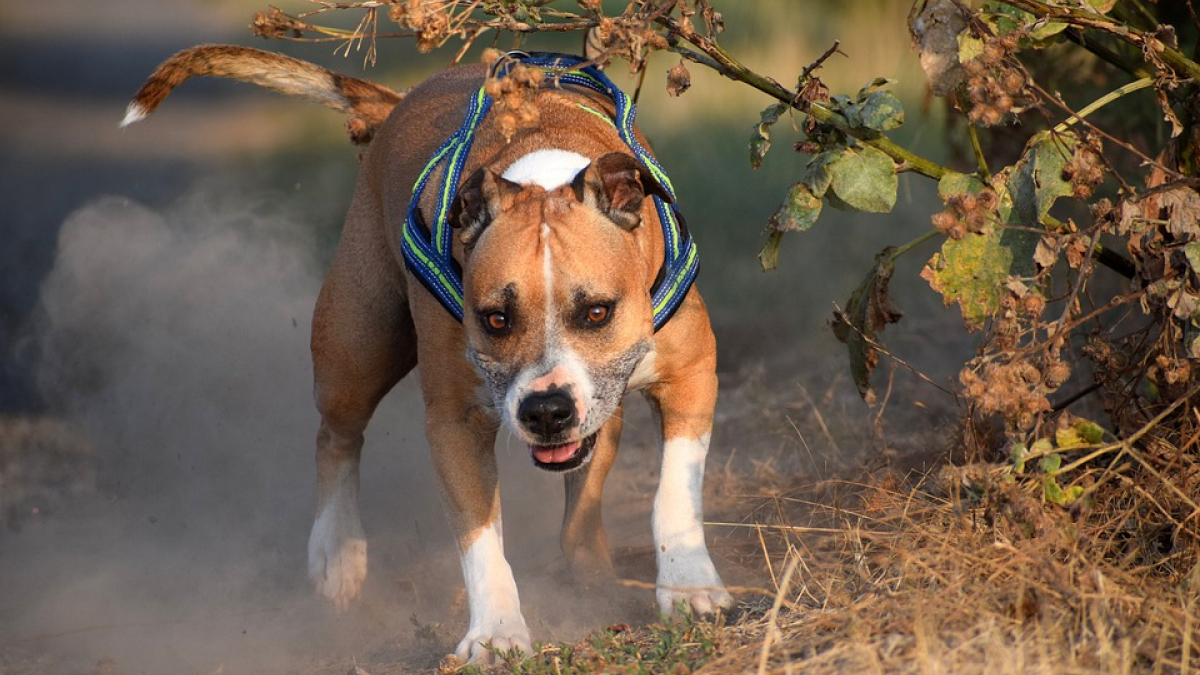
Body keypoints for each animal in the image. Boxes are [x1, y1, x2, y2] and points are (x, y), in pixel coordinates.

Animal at [129, 44, 729, 658]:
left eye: (597, 312)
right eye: (494, 319)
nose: (545, 411)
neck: (541, 170)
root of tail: (400, 101)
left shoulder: (692, 373)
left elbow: (674, 492)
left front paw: (689, 587)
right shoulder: (454, 422)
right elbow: (479, 537)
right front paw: (495, 632)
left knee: (584, 494)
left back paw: (591, 574)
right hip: (356, 347)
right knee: (336, 436)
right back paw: (337, 552)